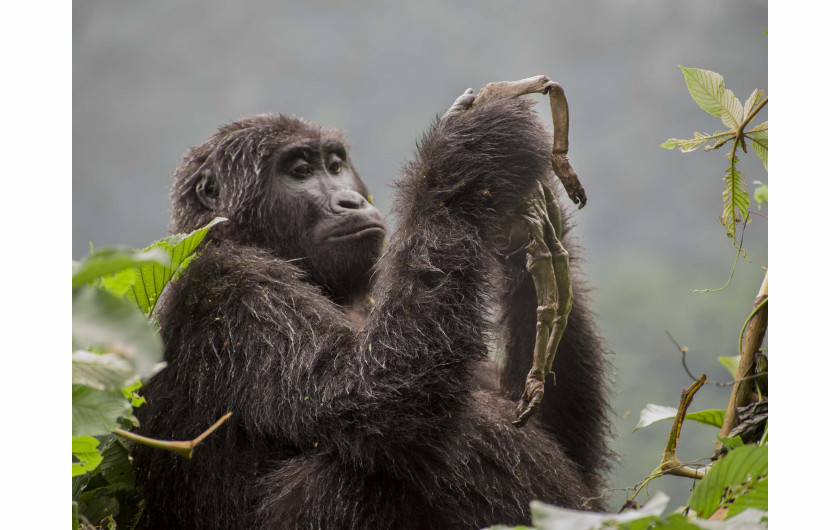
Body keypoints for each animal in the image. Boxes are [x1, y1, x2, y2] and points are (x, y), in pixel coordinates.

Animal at [135, 83, 612, 528]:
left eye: (335, 166)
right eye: (300, 171)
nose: (351, 201)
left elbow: (551, 430)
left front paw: (522, 218)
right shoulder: (233, 287)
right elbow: (368, 399)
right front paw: (470, 153)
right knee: (351, 470)